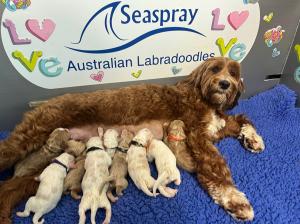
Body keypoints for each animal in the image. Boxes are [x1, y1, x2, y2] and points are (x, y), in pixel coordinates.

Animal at [0, 57, 264, 221]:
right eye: (215, 69)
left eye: (233, 72)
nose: (225, 83)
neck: (205, 98)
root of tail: (42, 105)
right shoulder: (198, 136)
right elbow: (215, 167)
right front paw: (235, 200)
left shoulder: (216, 127)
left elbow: (243, 119)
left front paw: (253, 139)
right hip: (29, 136)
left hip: (47, 165)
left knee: (8, 189)